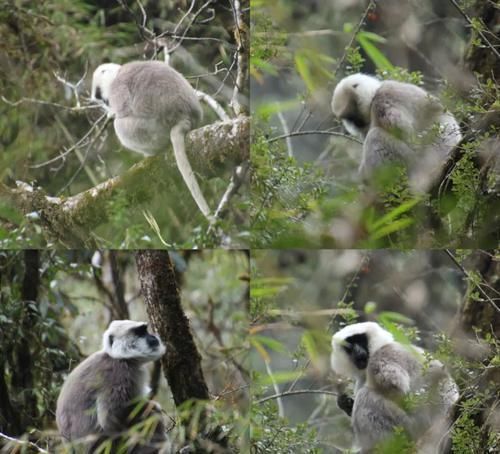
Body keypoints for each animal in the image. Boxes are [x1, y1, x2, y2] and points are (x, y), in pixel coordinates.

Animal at [56, 320, 167, 452]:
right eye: (139, 332)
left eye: (145, 330)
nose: (153, 337)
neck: (119, 358)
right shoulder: (118, 374)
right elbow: (110, 418)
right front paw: (153, 406)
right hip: (106, 446)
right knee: (151, 416)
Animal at [91, 61, 212, 220]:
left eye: (102, 97)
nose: (105, 104)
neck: (118, 73)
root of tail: (186, 118)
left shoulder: (118, 86)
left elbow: (123, 111)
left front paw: (112, 113)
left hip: (155, 130)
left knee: (120, 125)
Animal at [330, 320, 458, 452]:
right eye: (349, 347)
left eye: (361, 340)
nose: (358, 351)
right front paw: (346, 404)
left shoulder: (382, 355)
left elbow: (395, 385)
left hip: (410, 427)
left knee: (365, 397)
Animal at [332, 73, 460, 191]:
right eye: (350, 119)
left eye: (353, 116)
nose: (356, 124)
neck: (375, 92)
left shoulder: (382, 101)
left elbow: (409, 138)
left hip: (411, 164)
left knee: (375, 136)